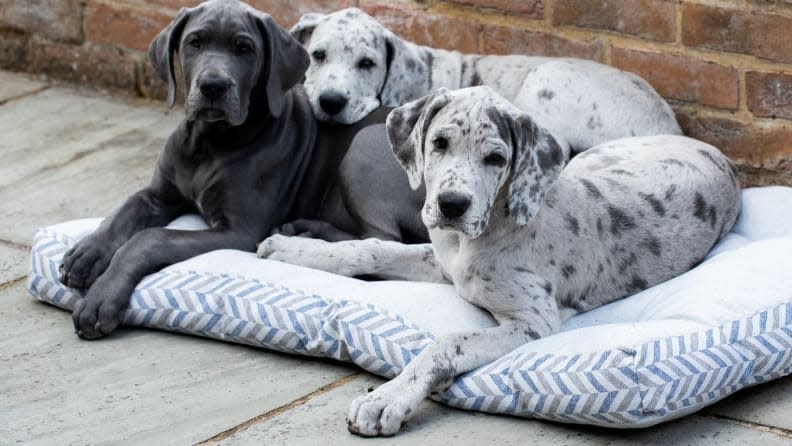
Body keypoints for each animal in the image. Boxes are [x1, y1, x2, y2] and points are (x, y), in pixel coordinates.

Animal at [59, 0, 400, 338]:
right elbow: (122, 212)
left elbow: (151, 238)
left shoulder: (238, 231)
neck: (210, 142)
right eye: (194, 43)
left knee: (382, 242)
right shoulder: (157, 195)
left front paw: (101, 298)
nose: (213, 86)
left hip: (365, 142)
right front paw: (87, 253)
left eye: (244, 48)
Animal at [258, 86, 744, 436]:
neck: (483, 234)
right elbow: (373, 248)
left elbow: (446, 343)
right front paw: (293, 250)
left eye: (496, 158)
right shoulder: (444, 262)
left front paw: (388, 398)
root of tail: (721, 156)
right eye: (439, 143)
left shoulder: (533, 322)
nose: (453, 205)